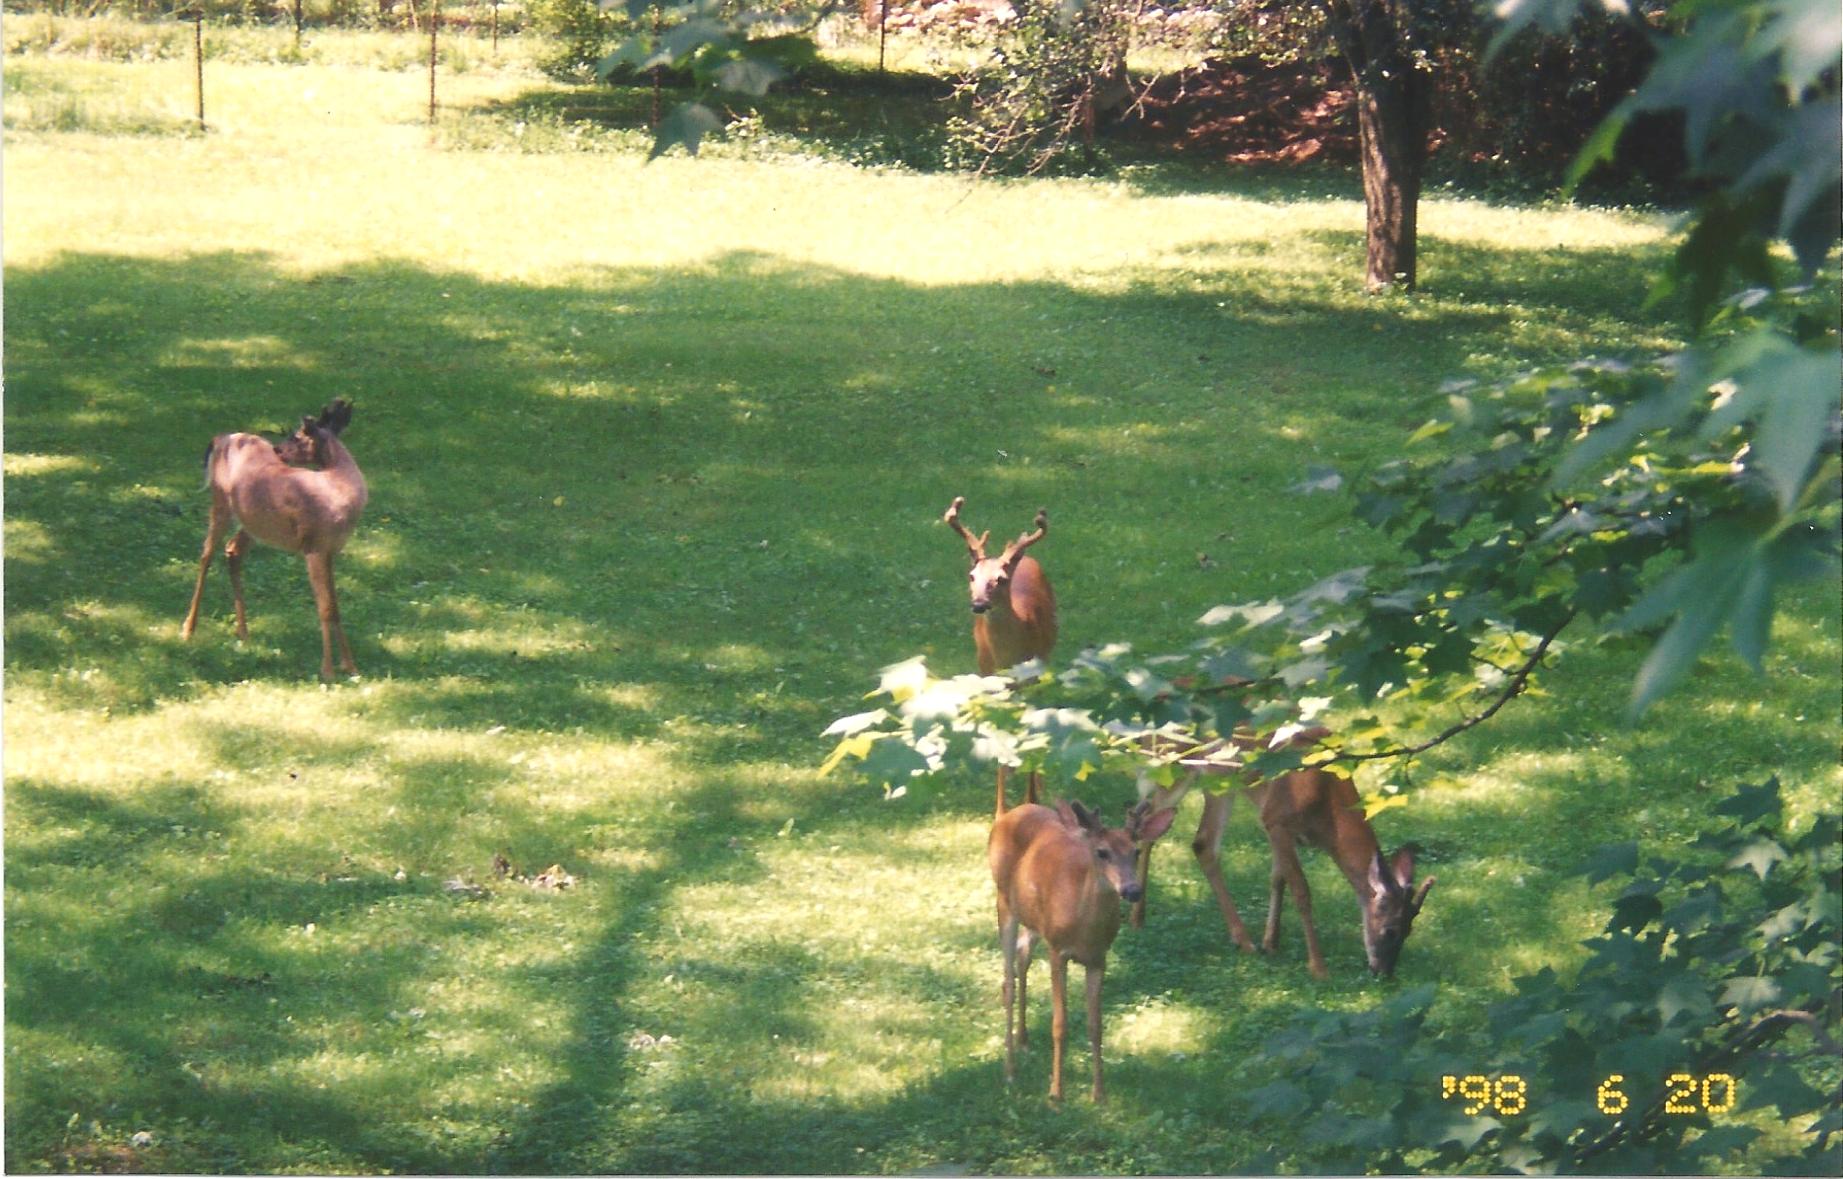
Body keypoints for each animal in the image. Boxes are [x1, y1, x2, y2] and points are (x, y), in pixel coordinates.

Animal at [181, 399, 369, 682]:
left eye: (297, 435)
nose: (277, 449)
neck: (339, 491)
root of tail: (221, 437)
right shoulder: (314, 546)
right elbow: (325, 607)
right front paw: (328, 670)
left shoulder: (330, 550)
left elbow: (335, 607)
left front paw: (350, 666)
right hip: (221, 501)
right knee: (206, 555)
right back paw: (188, 629)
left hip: (253, 523)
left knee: (232, 550)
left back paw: (243, 633)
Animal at [944, 496, 1058, 817]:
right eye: (972, 576)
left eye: (1000, 579)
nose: (979, 605)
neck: (1009, 656)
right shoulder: (989, 678)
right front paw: (1000, 811)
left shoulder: (1034, 676)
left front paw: (1032, 798)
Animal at [989, 798, 1176, 1103]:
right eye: (1102, 852)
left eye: (1136, 851)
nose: (1132, 890)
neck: (1083, 928)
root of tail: (1008, 814)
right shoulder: (1057, 950)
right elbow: (1059, 1024)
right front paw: (1056, 1094)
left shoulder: (1099, 958)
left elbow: (1095, 1025)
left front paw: (1099, 1094)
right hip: (1004, 901)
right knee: (1008, 983)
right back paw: (1009, 1070)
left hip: (1034, 921)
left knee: (1022, 954)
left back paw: (1023, 1040)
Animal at [1128, 726, 1434, 980]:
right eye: (1390, 930)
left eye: (1410, 930)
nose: (1384, 973)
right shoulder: (1276, 819)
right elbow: (1301, 890)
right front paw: (1318, 967)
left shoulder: (1276, 827)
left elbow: (1278, 878)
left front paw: (1271, 942)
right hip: (1176, 764)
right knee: (1150, 823)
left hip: (1219, 780)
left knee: (1188, 837)